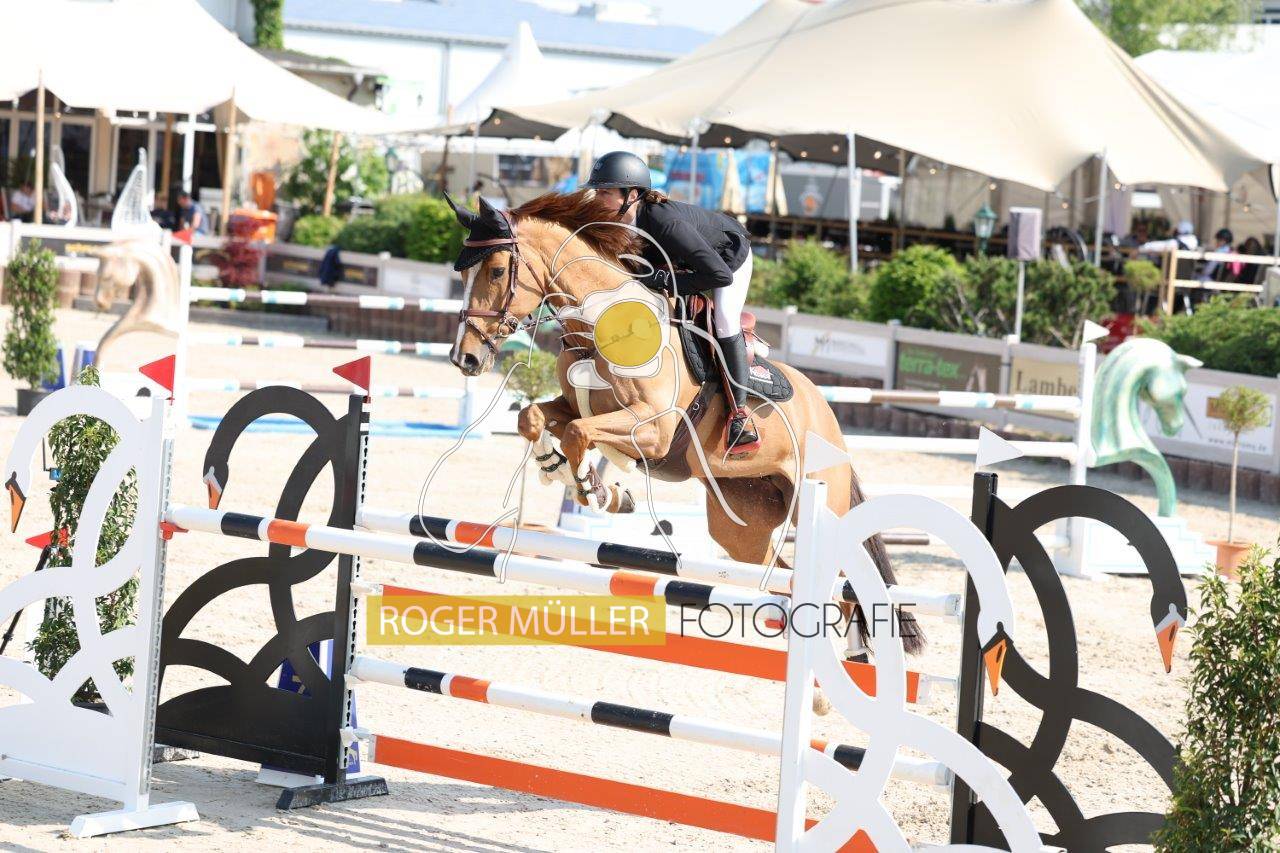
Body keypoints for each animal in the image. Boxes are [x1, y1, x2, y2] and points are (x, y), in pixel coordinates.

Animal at [446, 190, 922, 655]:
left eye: (496, 270)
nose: (464, 358)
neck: (603, 324)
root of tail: (828, 420)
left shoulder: (652, 430)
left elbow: (580, 435)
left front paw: (598, 493)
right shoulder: (576, 405)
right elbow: (535, 418)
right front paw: (568, 472)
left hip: (818, 506)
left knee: (840, 588)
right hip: (741, 523)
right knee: (785, 579)